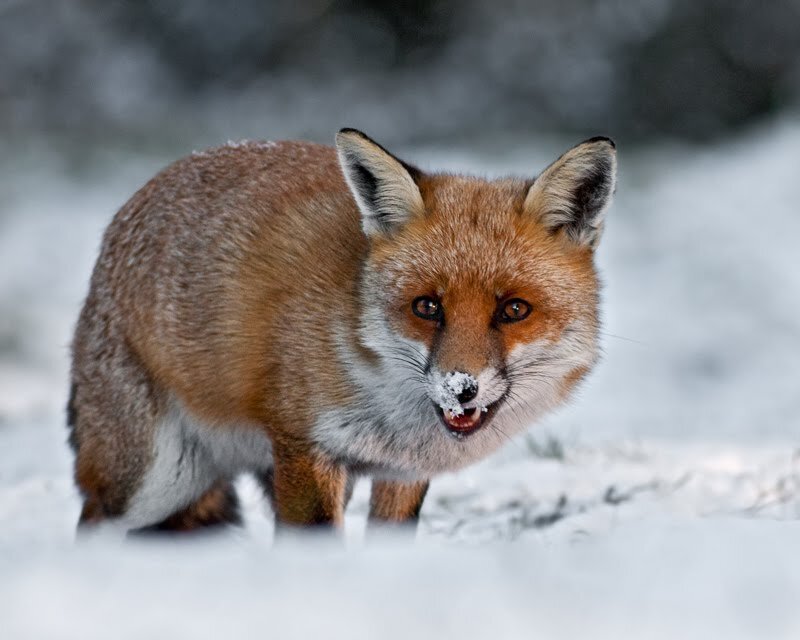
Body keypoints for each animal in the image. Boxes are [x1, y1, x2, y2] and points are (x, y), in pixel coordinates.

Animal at [67, 128, 616, 535]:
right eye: (427, 307)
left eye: (514, 309)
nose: (460, 388)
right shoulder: (305, 450)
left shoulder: (402, 472)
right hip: (148, 481)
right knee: (93, 522)